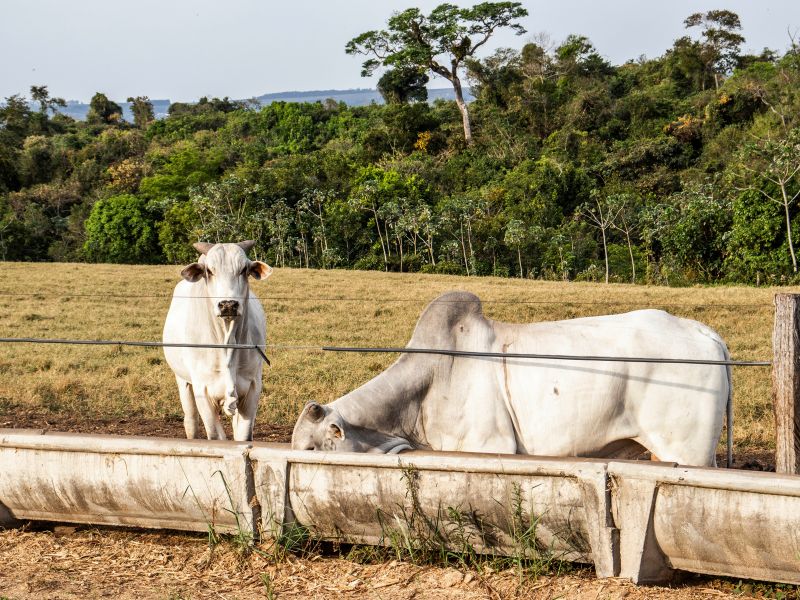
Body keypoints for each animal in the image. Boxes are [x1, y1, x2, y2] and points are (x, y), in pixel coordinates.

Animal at [162, 241, 272, 442]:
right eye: (209, 271)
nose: (228, 304)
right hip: (183, 381)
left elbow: (243, 436)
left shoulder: (252, 389)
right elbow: (215, 436)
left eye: (243, 269)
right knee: (191, 421)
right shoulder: (203, 391)